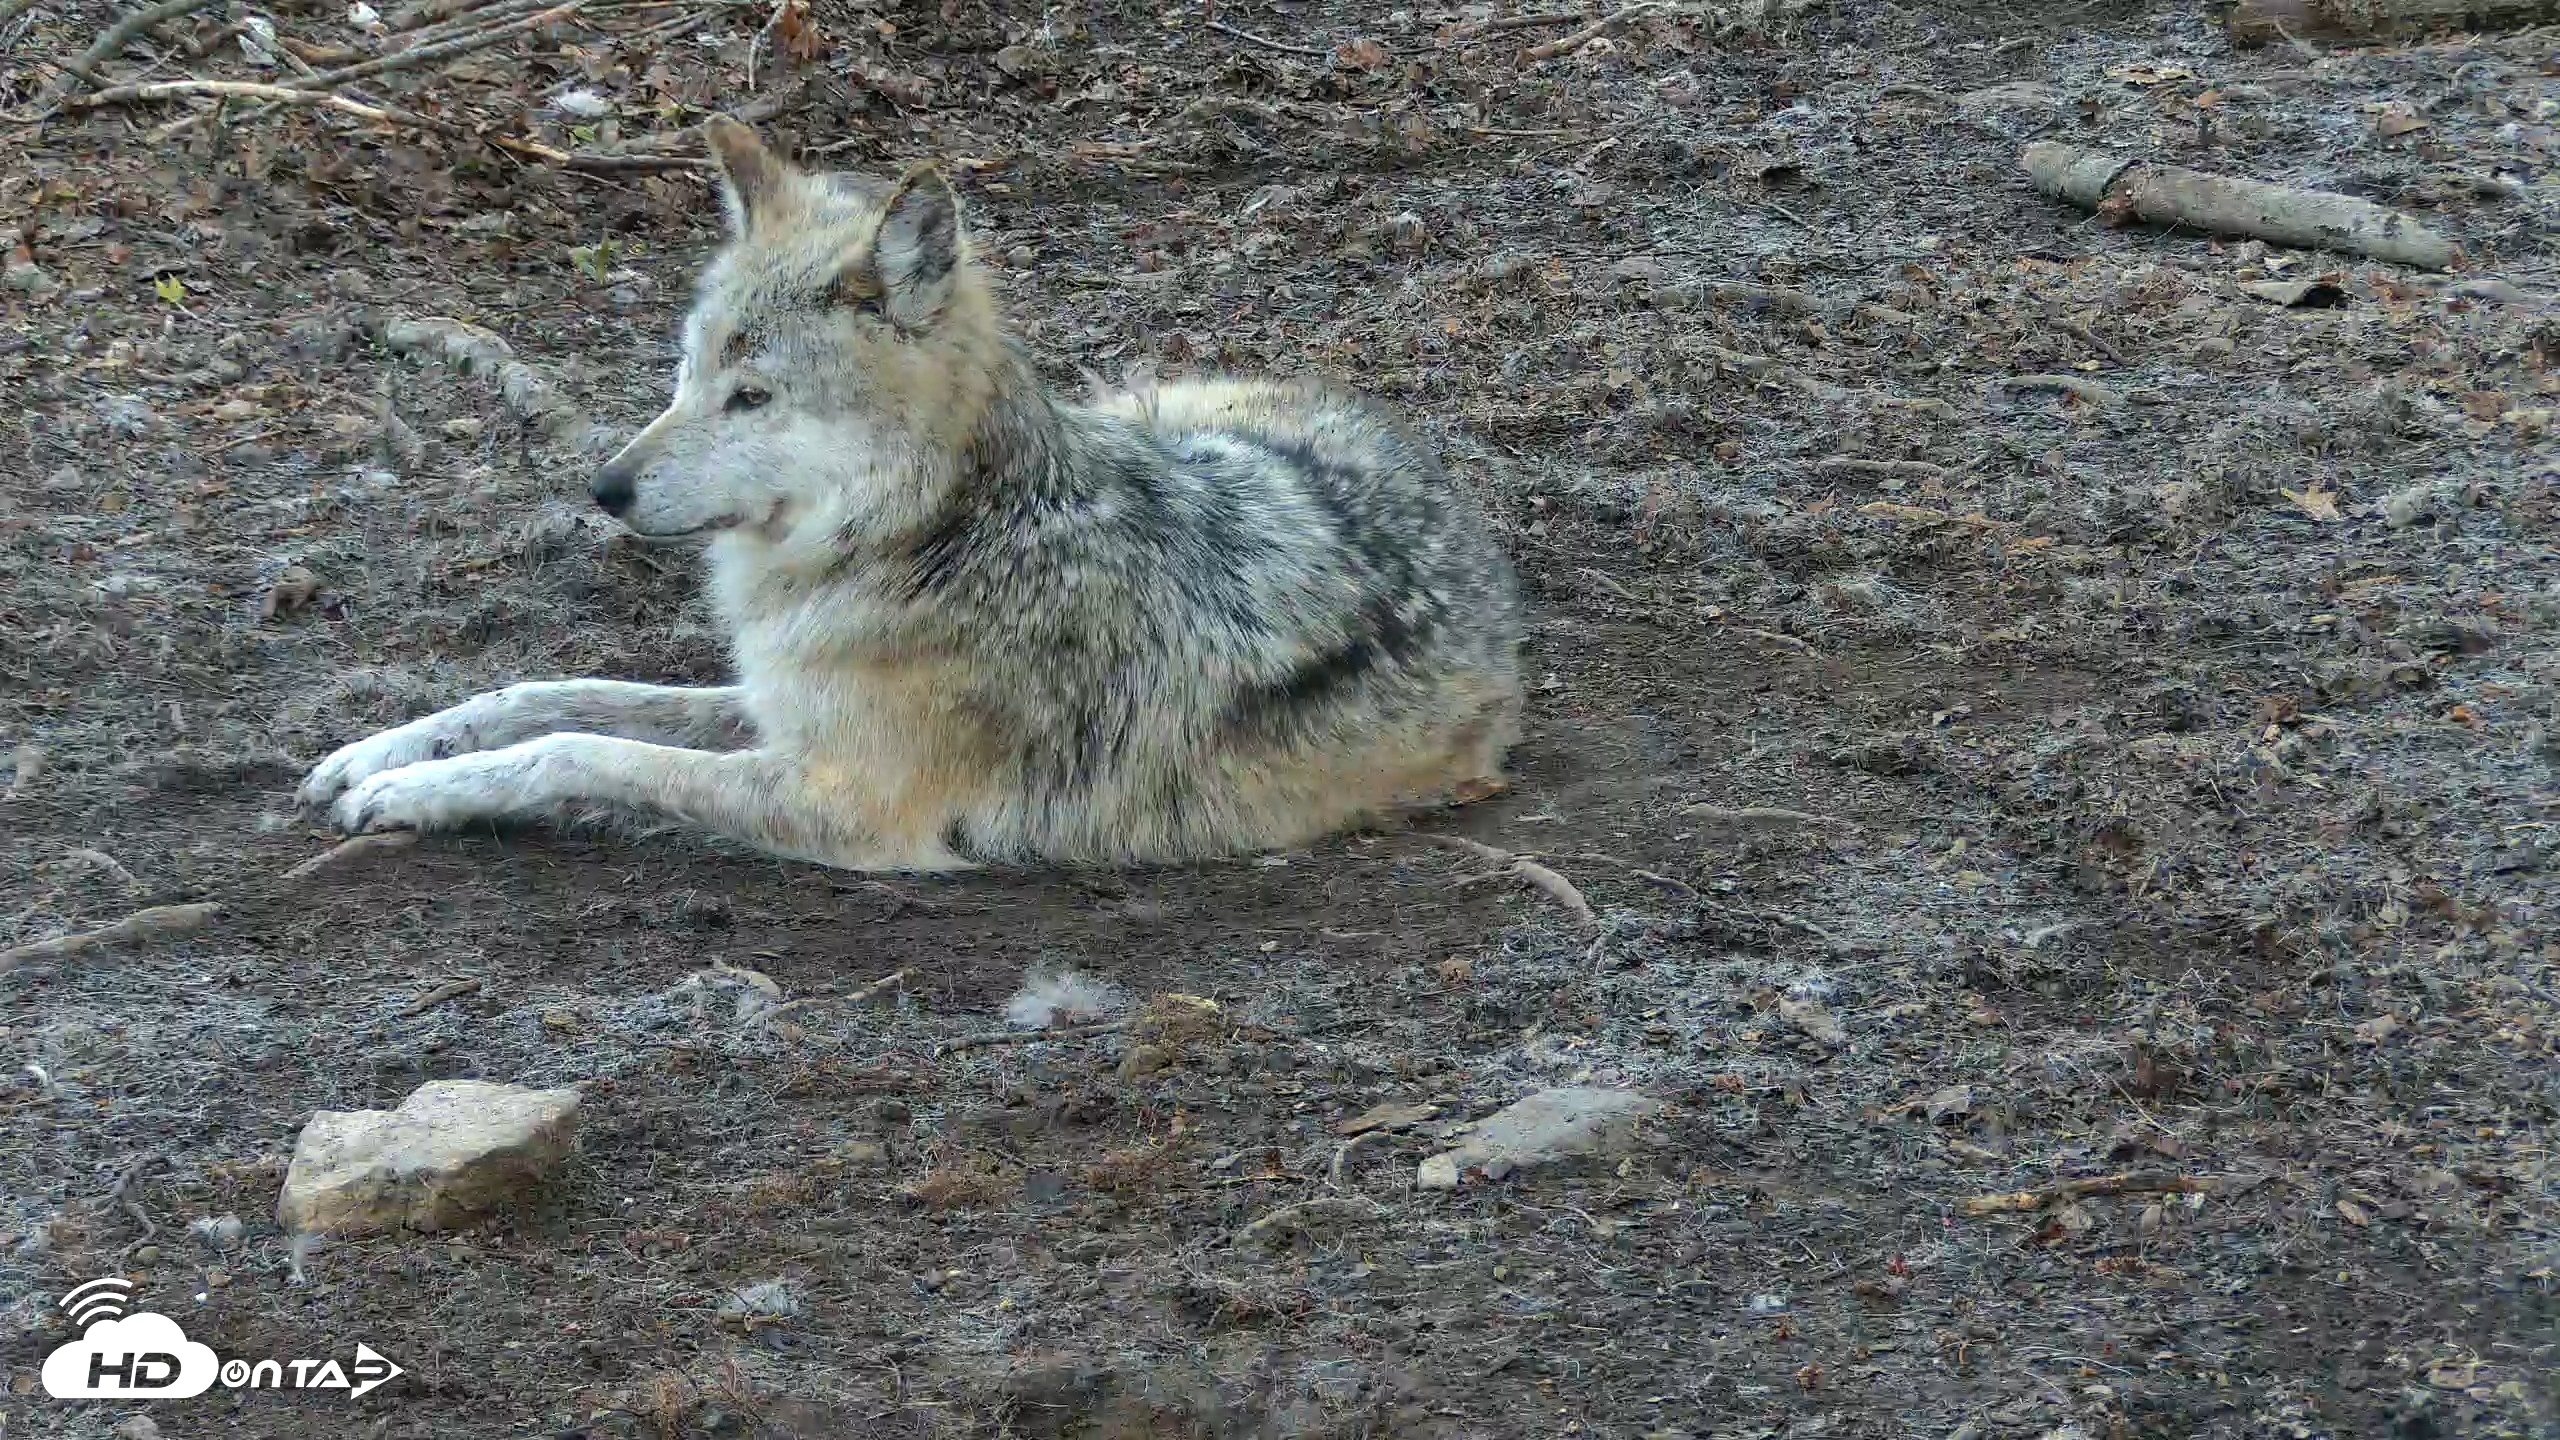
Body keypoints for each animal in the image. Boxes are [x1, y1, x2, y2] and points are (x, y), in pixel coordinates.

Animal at [294, 114, 1524, 872]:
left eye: (752, 396)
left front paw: (423, 792)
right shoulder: (778, 700)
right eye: (684, 375)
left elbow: (587, 751)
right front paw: (386, 752)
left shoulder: (848, 801)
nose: (603, 488)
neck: (931, 537)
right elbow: (555, 691)